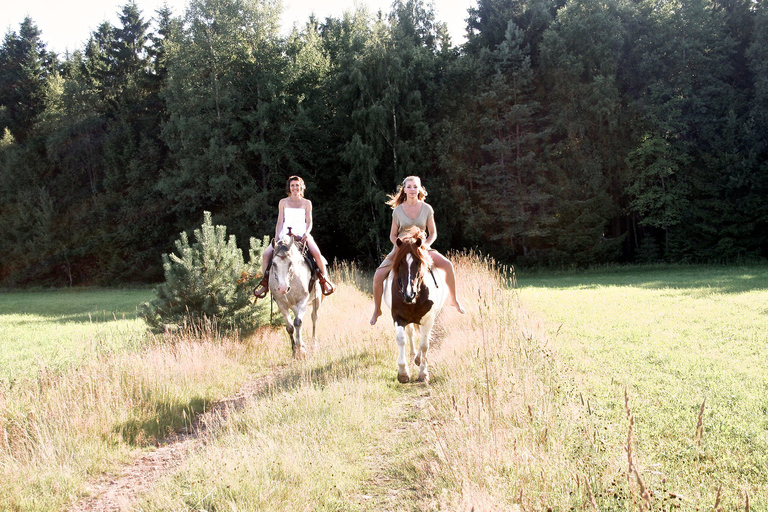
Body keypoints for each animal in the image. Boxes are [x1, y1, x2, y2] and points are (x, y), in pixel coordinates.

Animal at [382, 232, 448, 384]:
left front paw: (423, 373)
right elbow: (401, 339)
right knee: (411, 333)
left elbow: (424, 344)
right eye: (400, 262)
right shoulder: (398, 317)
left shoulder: (428, 319)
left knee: (424, 339)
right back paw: (413, 356)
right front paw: (403, 373)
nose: (409, 294)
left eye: (418, 262)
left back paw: (418, 359)